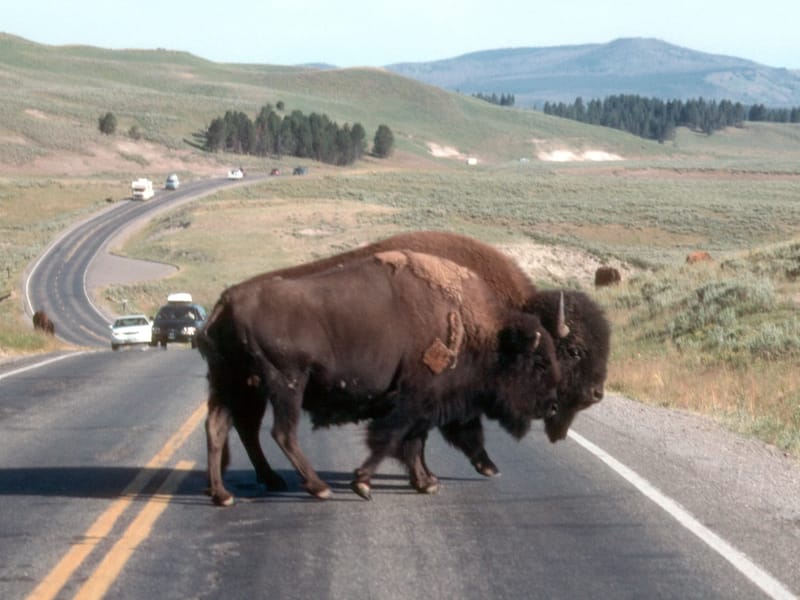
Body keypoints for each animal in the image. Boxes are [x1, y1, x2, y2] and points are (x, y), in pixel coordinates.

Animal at [208, 231, 610, 488]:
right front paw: (479, 468)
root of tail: (224, 302)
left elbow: (422, 436)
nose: (596, 393)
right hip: (280, 385)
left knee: (234, 427)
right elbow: (430, 435)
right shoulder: (430, 395)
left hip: (240, 386)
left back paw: (259, 482)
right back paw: (306, 484)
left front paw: (433, 477)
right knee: (269, 430)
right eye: (573, 350)